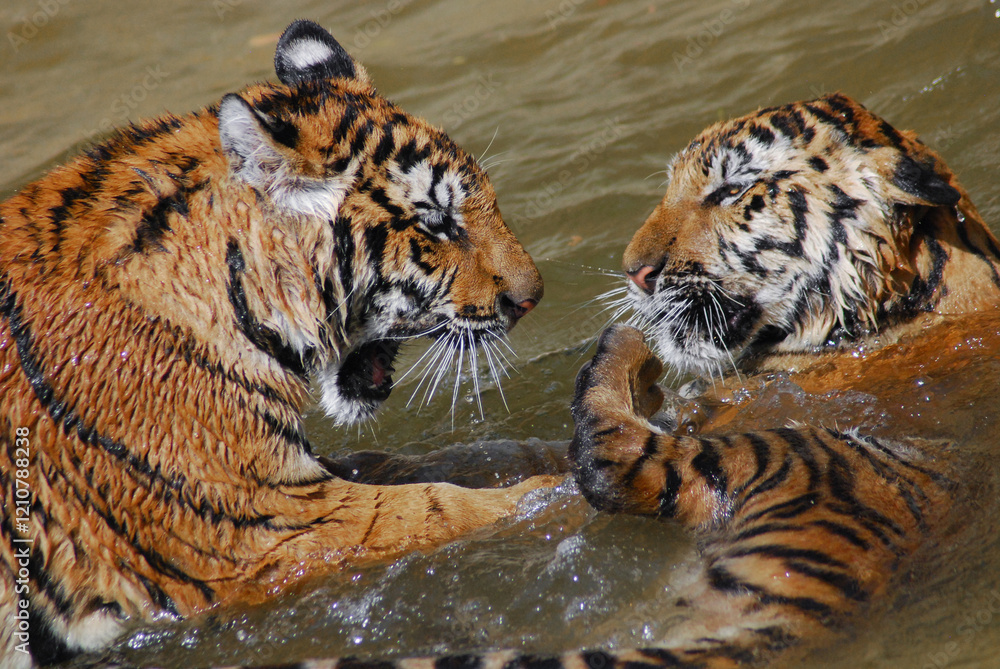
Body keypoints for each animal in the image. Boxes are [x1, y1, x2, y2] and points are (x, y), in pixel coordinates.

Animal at [0, 20, 559, 667]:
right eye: (437, 223)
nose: (532, 297)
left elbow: (429, 464)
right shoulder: (264, 525)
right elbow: (442, 508)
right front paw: (561, 495)